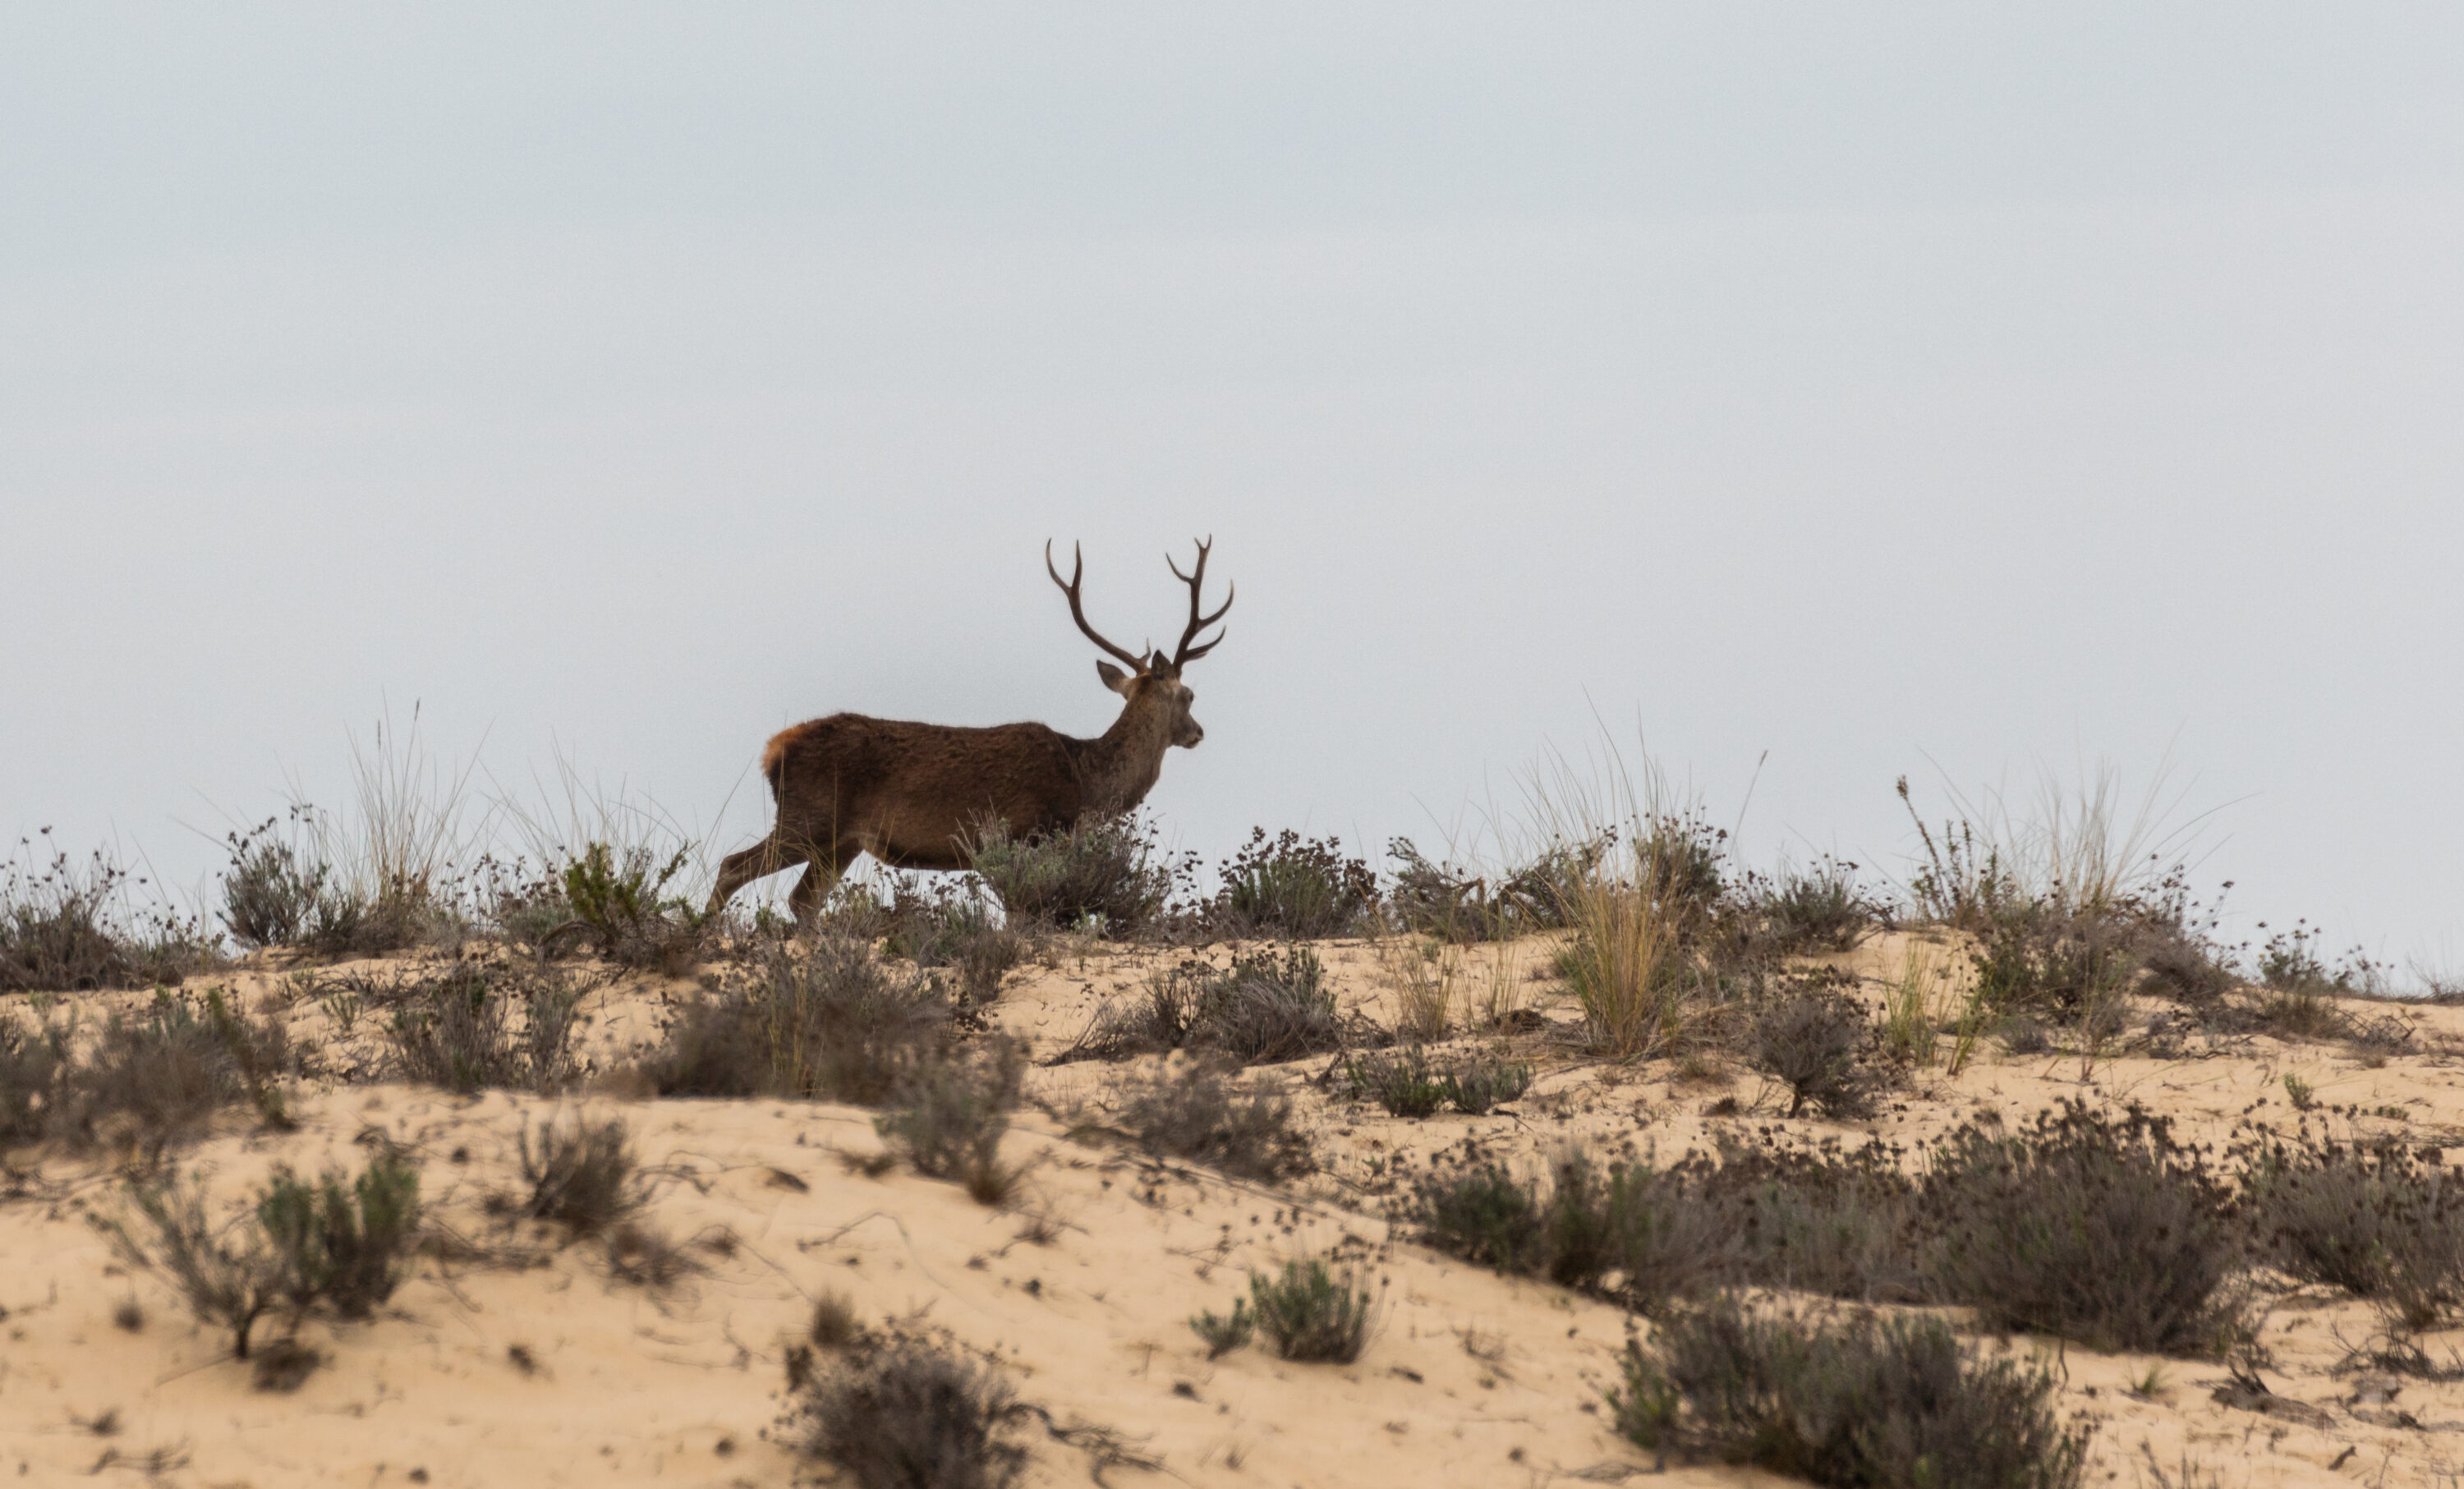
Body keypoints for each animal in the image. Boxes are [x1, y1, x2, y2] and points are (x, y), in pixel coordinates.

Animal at [705, 537, 1233, 926]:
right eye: (1190, 695)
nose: (1199, 732)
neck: (1086, 785)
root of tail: (774, 750)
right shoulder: (1026, 834)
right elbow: (1026, 915)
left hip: (842, 842)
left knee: (803, 900)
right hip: (809, 818)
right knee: (733, 868)